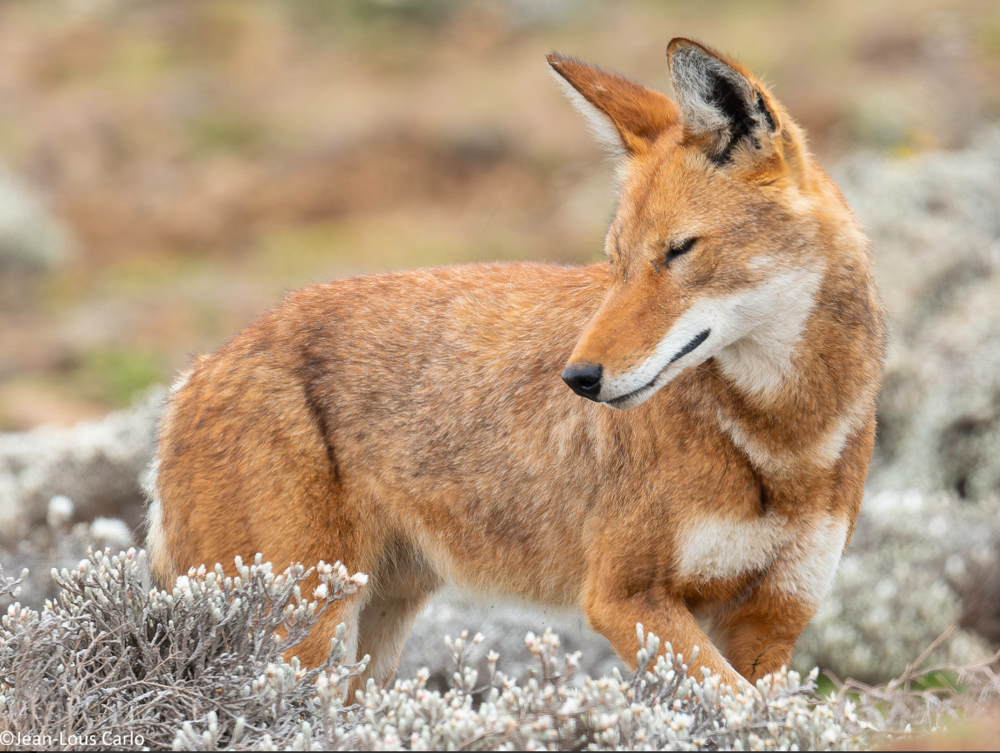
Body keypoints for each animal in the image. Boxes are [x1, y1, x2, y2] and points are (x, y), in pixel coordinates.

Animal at [146, 39, 884, 688]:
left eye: (679, 251)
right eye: (615, 261)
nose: (578, 379)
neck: (785, 437)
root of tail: (201, 369)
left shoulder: (771, 623)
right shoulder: (624, 599)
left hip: (370, 637)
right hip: (306, 632)